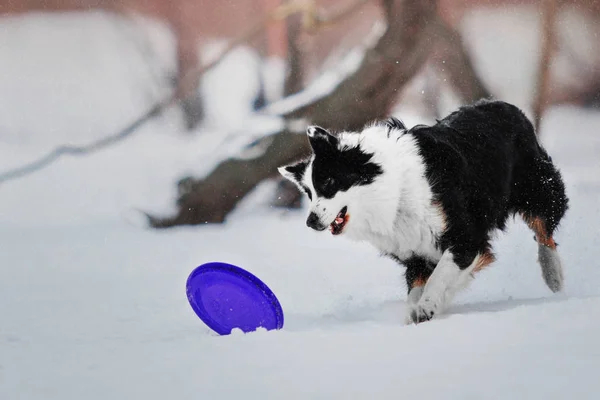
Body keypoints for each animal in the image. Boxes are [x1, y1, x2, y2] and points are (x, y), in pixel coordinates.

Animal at [278, 100, 568, 324]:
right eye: (308, 193)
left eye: (328, 182)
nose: (310, 221)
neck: (395, 193)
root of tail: (505, 105)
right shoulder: (414, 252)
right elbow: (416, 287)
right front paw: (417, 313)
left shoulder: (465, 237)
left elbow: (440, 274)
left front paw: (427, 307)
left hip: (537, 188)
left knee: (545, 229)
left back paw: (552, 274)